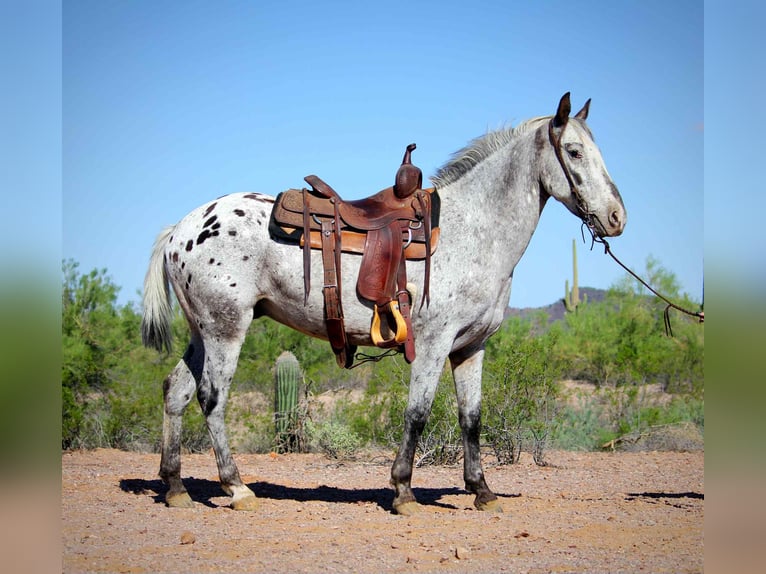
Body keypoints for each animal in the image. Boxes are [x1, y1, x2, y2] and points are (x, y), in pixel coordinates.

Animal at [141, 93, 626, 515]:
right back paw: (236, 487)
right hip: (226, 329)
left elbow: (471, 417)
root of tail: (180, 229)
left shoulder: (471, 347)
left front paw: (482, 490)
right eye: (574, 152)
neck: (473, 230)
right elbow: (417, 414)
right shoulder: (432, 344)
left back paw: (176, 487)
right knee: (212, 397)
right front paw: (403, 490)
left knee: (176, 391)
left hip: (202, 331)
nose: (617, 217)